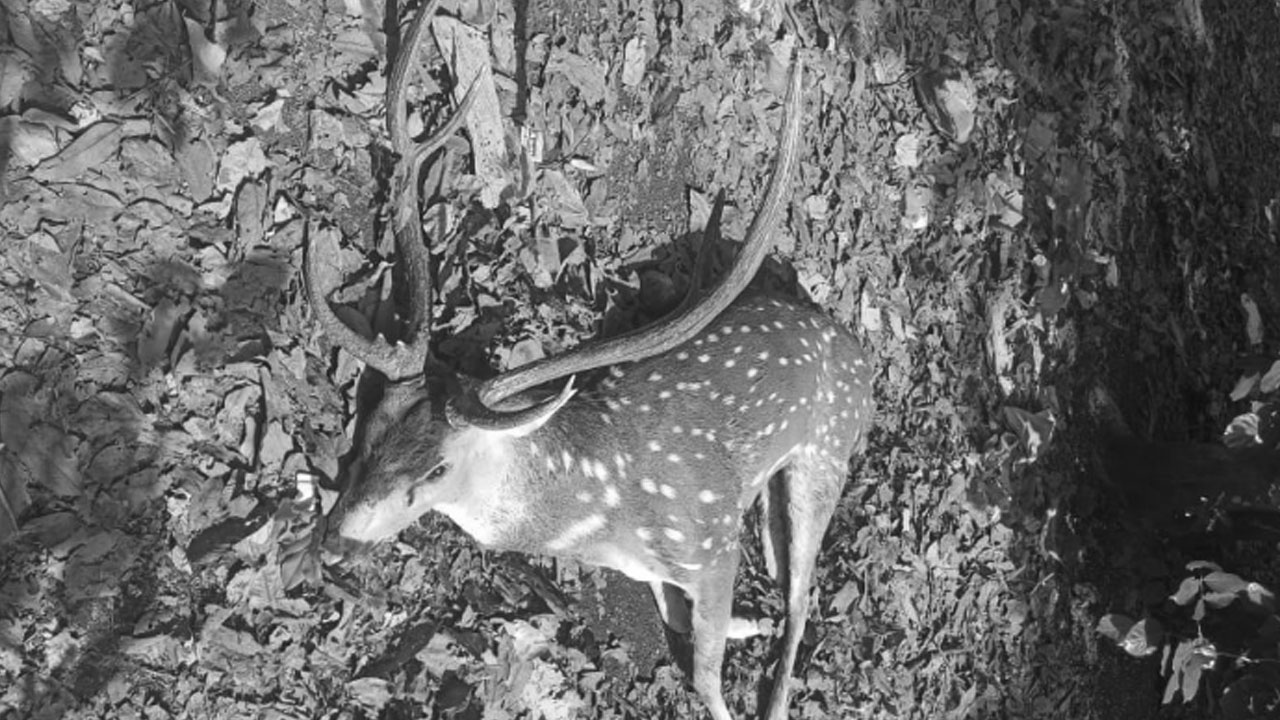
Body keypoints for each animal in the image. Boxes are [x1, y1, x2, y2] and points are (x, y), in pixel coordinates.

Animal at [310, 4, 875, 719]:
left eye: (438, 468)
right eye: (371, 423)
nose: (335, 542)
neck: (600, 516)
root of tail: (859, 355)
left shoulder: (711, 538)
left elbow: (704, 676)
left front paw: (737, 646)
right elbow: (683, 621)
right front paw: (747, 621)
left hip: (826, 451)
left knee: (803, 601)